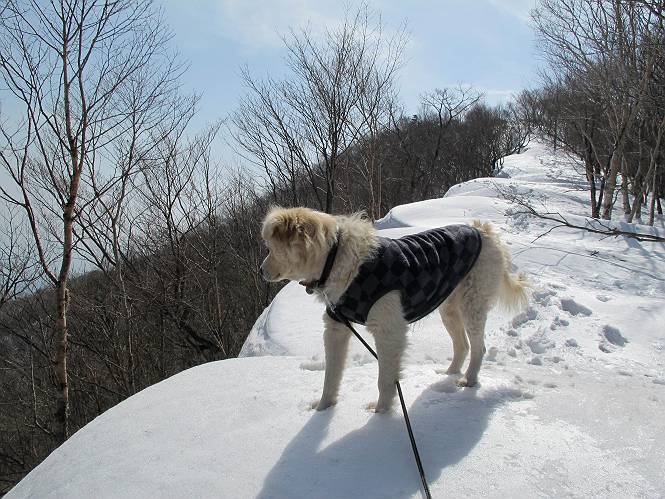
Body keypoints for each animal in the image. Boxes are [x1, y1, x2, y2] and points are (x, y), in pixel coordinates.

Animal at [260, 206, 528, 413]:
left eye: (270, 248)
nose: (261, 271)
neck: (336, 258)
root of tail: (482, 230)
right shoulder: (336, 328)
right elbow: (331, 376)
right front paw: (322, 409)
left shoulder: (388, 332)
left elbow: (385, 379)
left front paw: (380, 414)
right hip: (449, 309)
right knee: (462, 345)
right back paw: (449, 374)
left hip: (472, 304)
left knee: (478, 347)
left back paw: (468, 380)